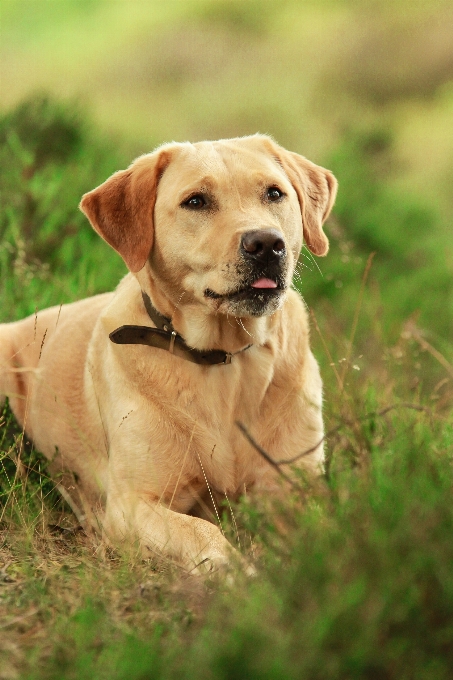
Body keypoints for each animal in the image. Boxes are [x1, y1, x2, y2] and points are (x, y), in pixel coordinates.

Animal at [0, 135, 336, 572]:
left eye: (274, 193)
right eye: (196, 201)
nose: (266, 244)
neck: (225, 359)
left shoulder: (297, 491)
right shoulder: (131, 504)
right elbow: (203, 531)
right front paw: (242, 576)